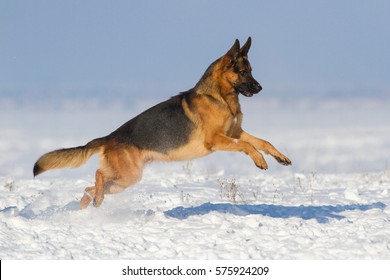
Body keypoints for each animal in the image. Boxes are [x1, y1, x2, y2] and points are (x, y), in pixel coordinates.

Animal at [34, 36, 290, 208]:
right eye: (244, 72)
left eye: (251, 71)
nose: (260, 88)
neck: (220, 96)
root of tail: (108, 138)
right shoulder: (217, 139)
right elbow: (247, 145)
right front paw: (260, 161)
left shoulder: (235, 132)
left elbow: (263, 141)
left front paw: (280, 157)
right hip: (127, 176)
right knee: (97, 175)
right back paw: (95, 200)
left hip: (124, 181)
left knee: (89, 188)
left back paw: (90, 205)